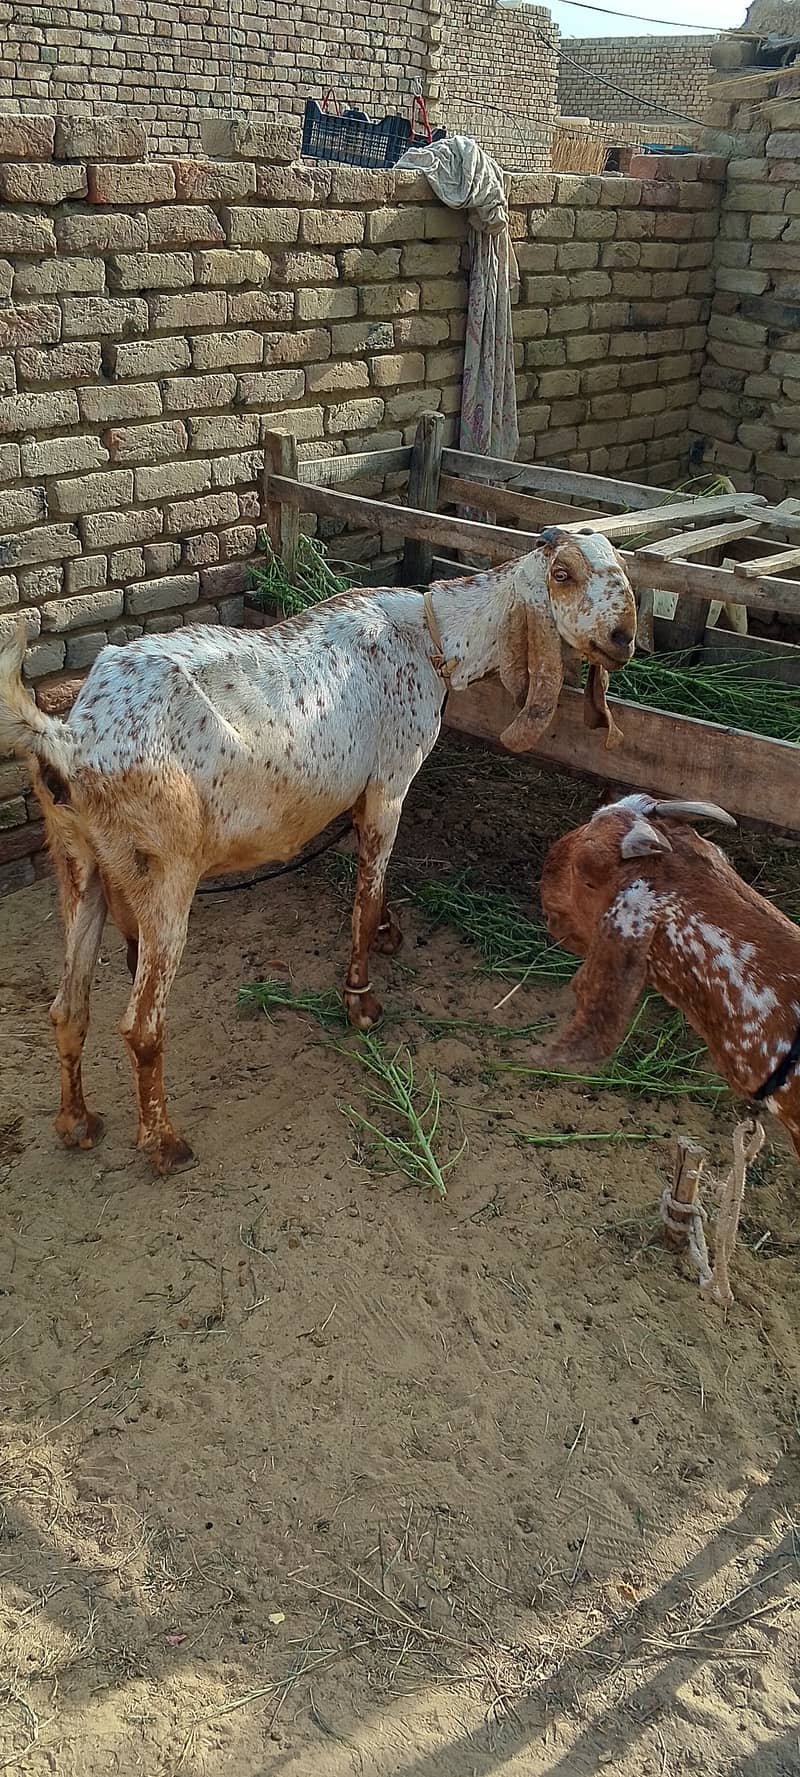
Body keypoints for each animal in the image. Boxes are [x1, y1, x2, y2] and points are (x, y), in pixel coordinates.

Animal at [0, 528, 635, 1176]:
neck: (430, 638)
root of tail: (73, 738)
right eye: (563, 575)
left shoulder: (358, 792)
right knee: (141, 1024)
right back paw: (165, 1144)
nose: (622, 638)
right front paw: (362, 1002)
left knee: (67, 1006)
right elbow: (367, 887)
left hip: (79, 862)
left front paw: (388, 933)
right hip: (165, 873)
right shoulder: (390, 783)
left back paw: (77, 1123)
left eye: (620, 570)